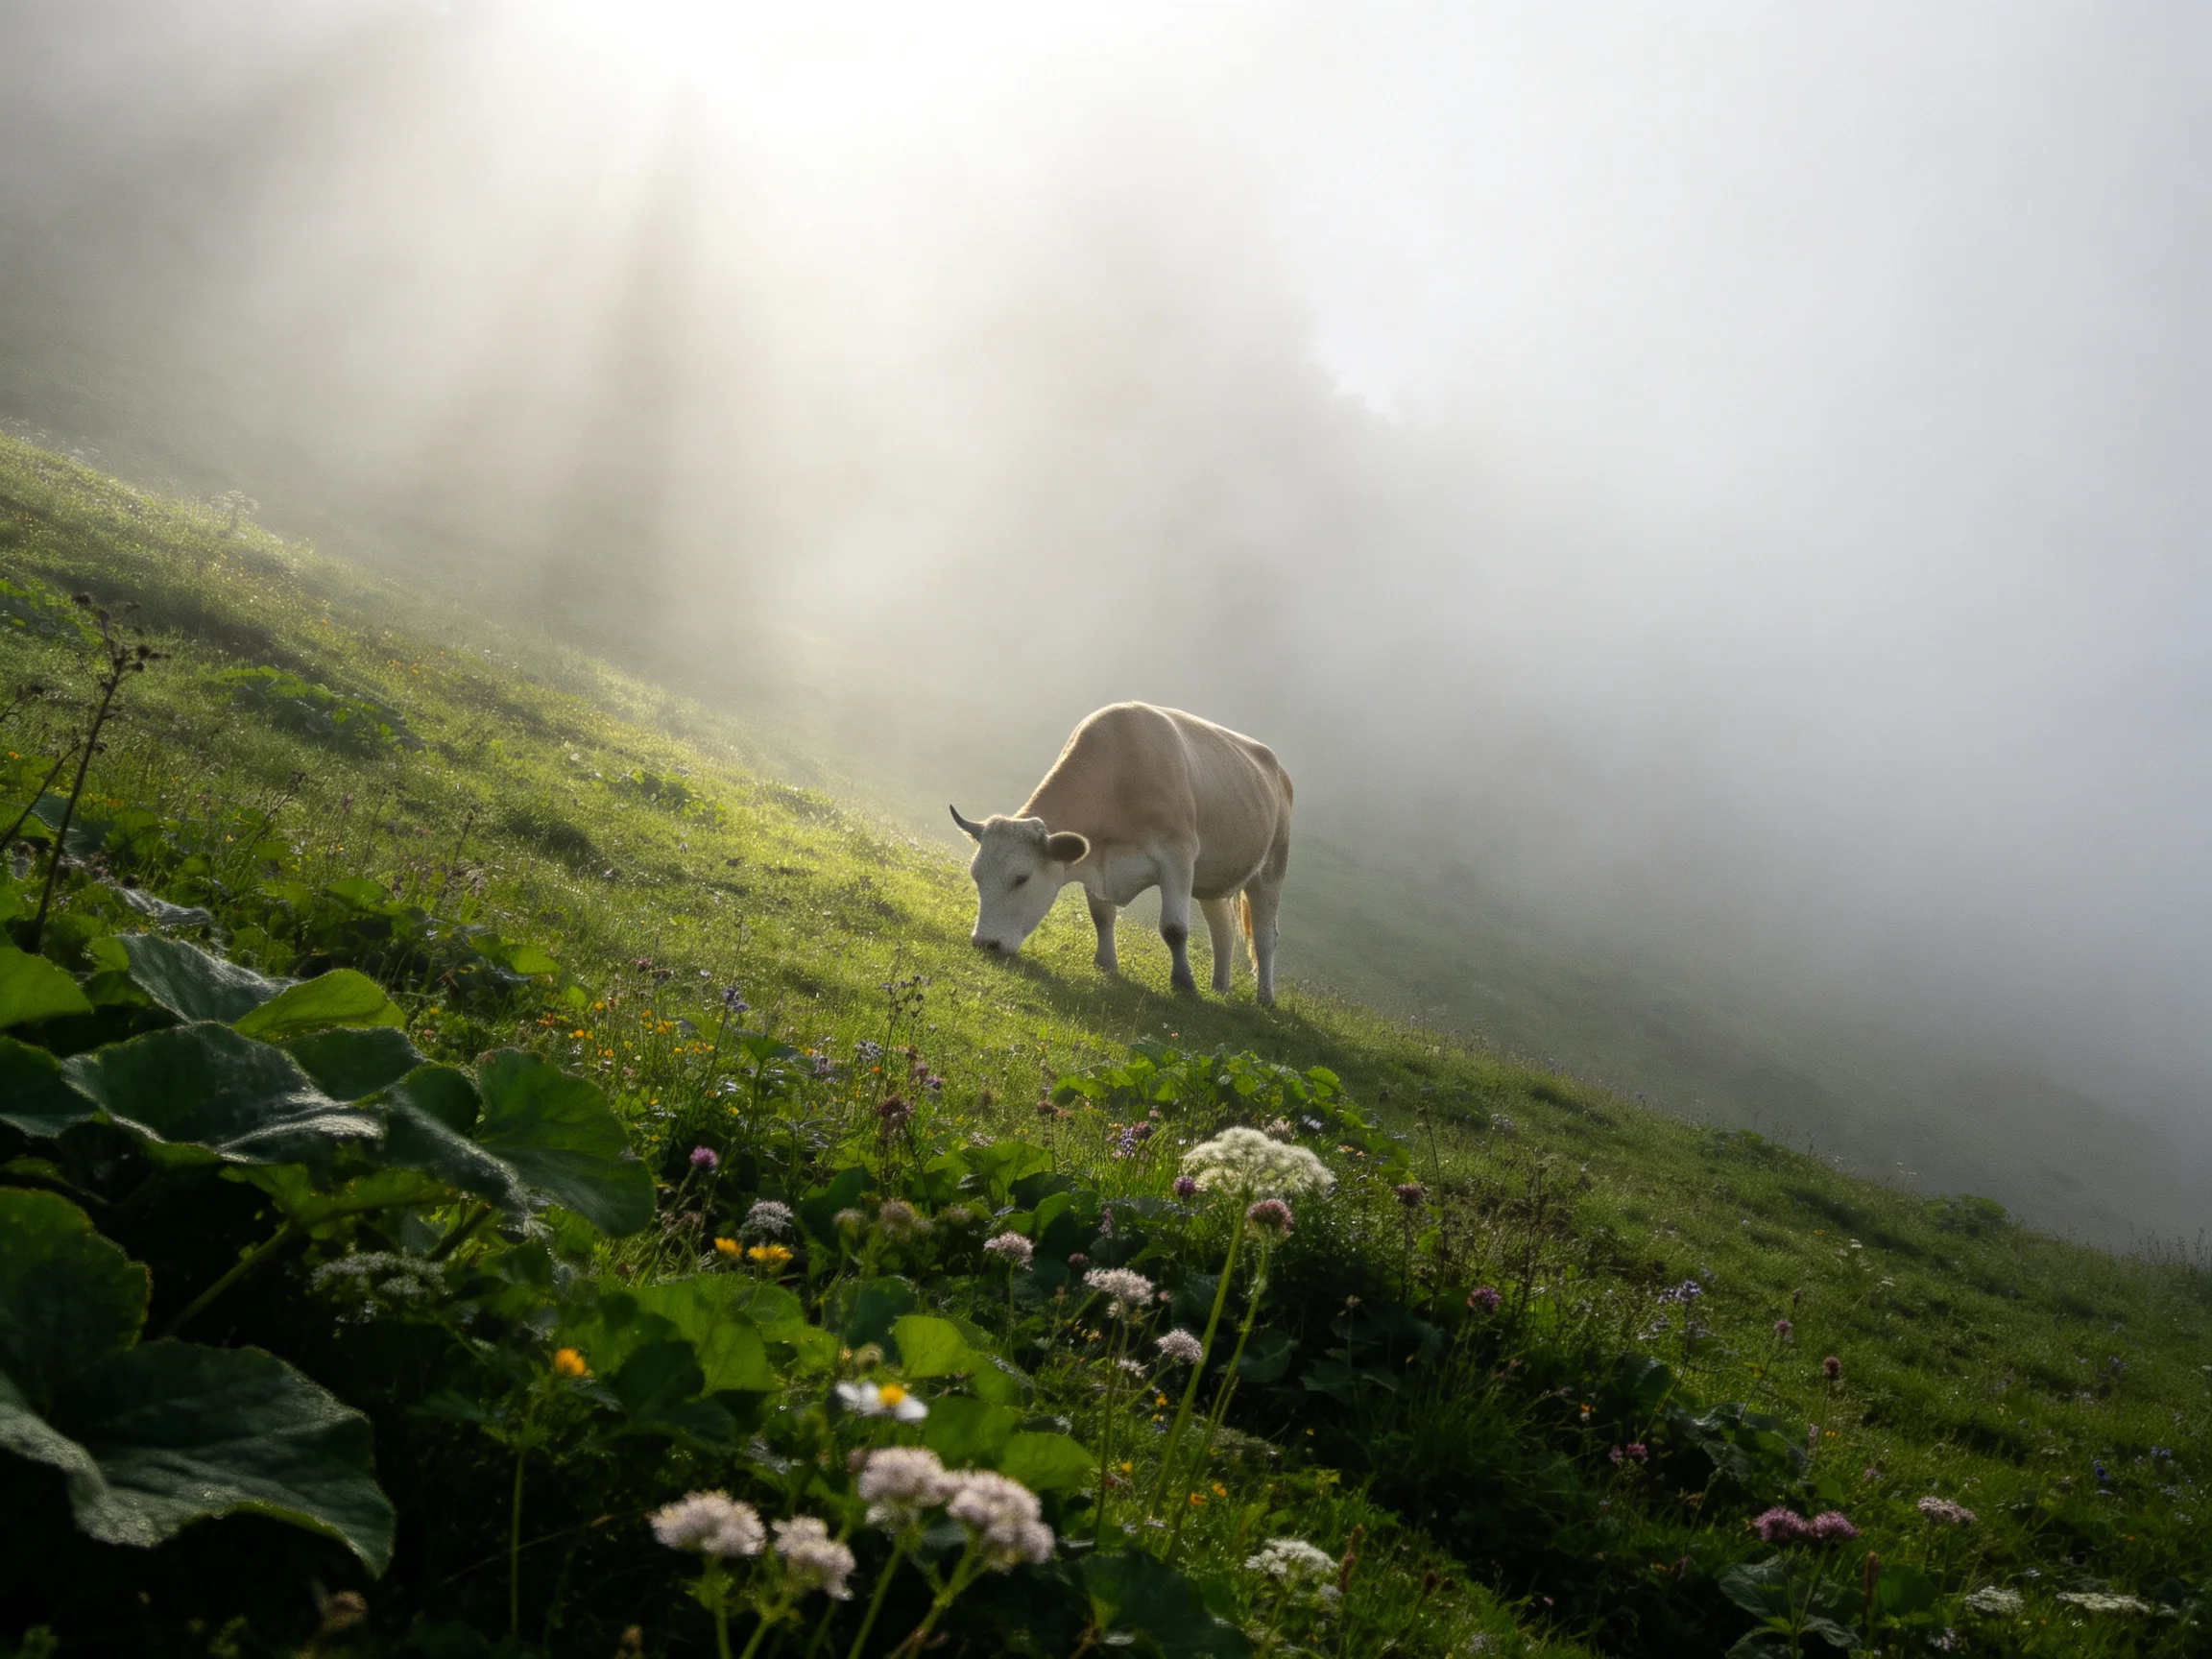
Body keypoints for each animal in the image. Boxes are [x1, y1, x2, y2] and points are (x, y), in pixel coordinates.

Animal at [950, 702, 1293, 1005]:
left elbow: (1174, 929)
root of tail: (1277, 767)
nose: (984, 943)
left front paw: (1183, 982)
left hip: (1270, 870)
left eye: (1021, 878)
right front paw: (1106, 963)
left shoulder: (1178, 857)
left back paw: (1265, 998)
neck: (1120, 780)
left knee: (1265, 936)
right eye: (976, 876)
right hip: (1215, 880)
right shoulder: (1096, 860)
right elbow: (1102, 917)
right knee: (1223, 930)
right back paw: (1220, 988)